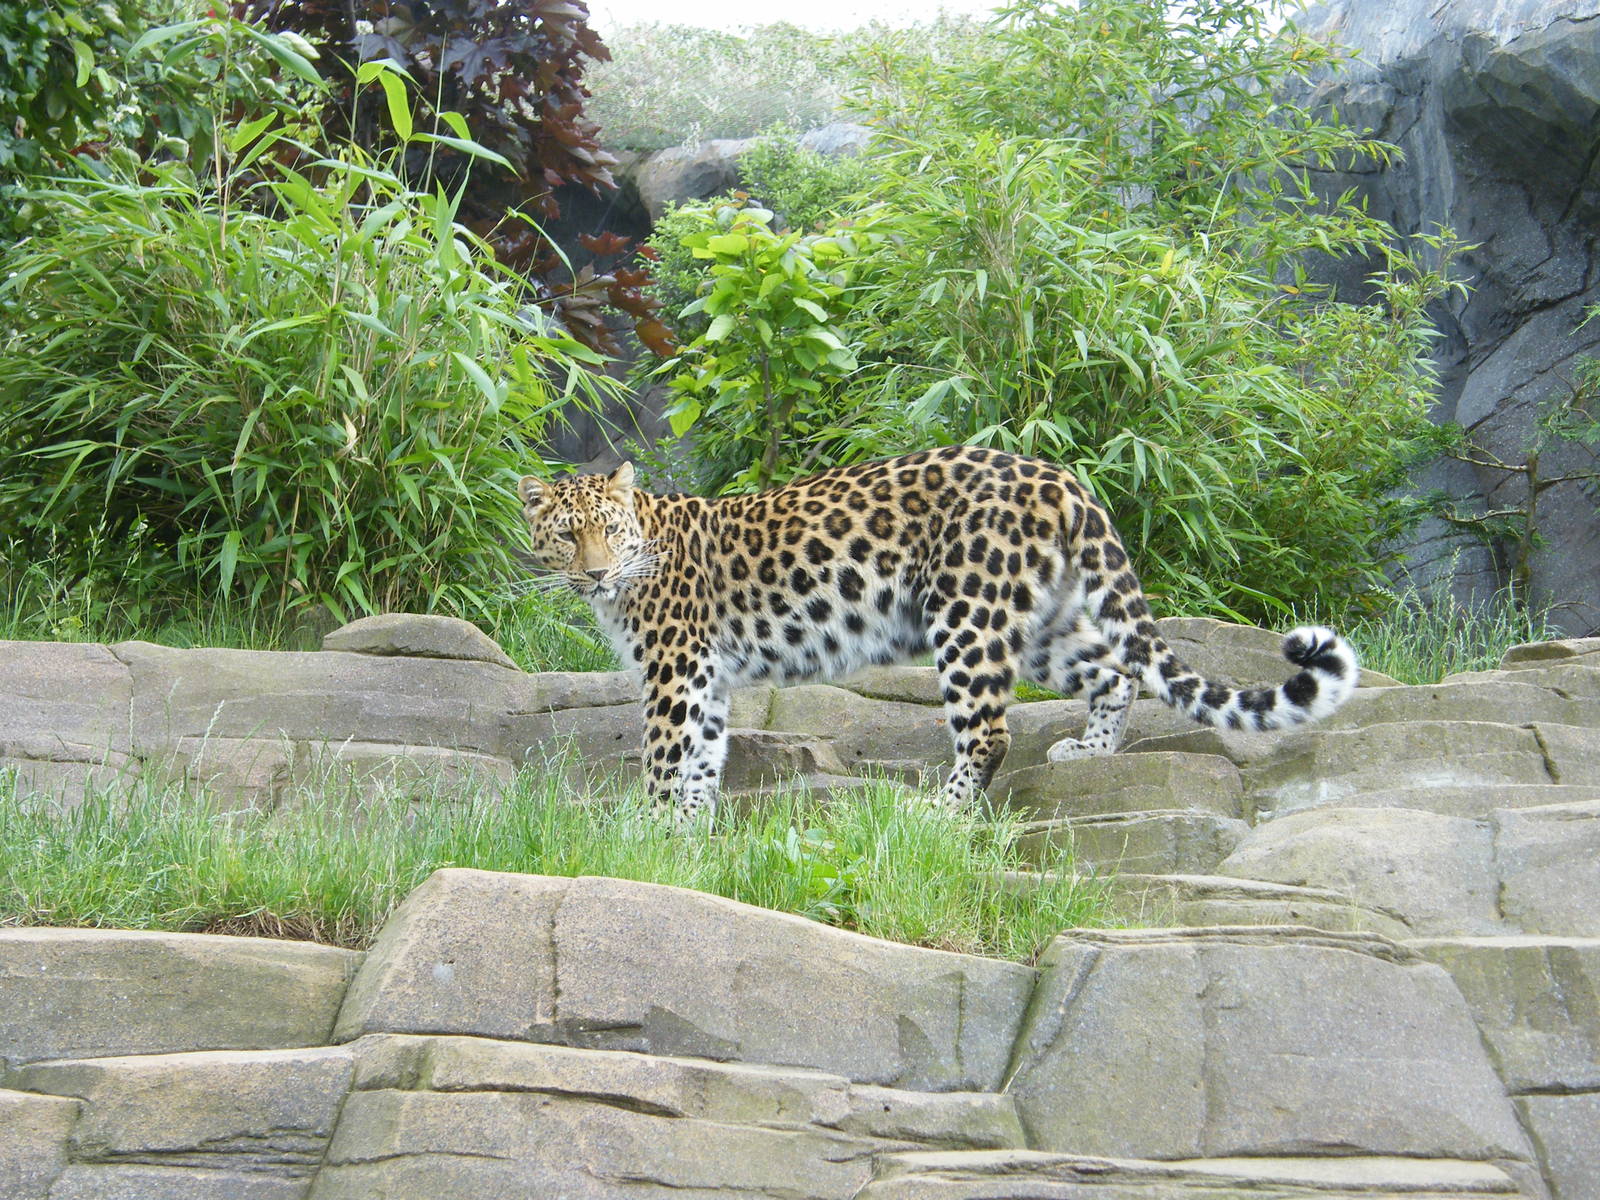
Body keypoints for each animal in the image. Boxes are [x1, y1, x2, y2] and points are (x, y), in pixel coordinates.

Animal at [518, 445, 1358, 822]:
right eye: (565, 536)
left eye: (608, 532)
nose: (595, 574)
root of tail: (1059, 474)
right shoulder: (707, 675)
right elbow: (703, 756)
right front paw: (688, 832)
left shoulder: (676, 664)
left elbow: (666, 753)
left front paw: (647, 831)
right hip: (1038, 620)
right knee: (1114, 671)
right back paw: (1089, 752)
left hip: (968, 613)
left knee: (989, 731)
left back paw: (938, 814)